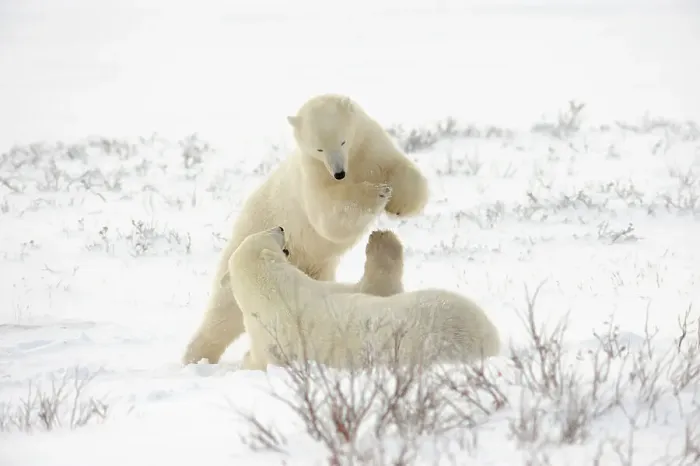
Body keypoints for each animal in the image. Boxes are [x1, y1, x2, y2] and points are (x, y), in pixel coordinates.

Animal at [181, 93, 429, 365]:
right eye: (319, 148)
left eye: (342, 140)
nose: (339, 172)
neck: (351, 163)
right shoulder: (312, 173)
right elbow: (329, 215)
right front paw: (377, 193)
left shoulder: (371, 146)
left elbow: (402, 171)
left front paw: (397, 203)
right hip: (250, 235)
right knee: (224, 311)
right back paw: (196, 356)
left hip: (318, 267)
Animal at [229, 226, 501, 372]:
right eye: (267, 233)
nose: (280, 227)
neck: (272, 292)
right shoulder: (268, 344)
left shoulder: (324, 291)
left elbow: (371, 289)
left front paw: (381, 237)